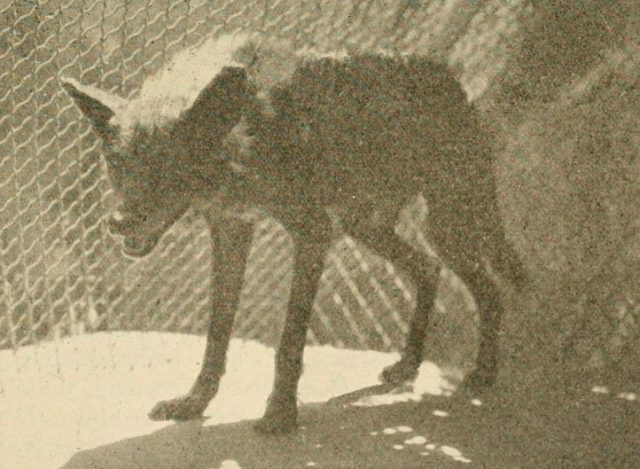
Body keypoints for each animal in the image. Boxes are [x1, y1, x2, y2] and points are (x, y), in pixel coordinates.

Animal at [62, 33, 528, 434]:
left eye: (166, 168)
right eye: (116, 164)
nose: (120, 222)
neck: (242, 131)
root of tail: (452, 81)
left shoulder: (311, 234)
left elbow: (288, 344)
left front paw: (281, 414)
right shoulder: (231, 233)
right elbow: (216, 337)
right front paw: (194, 402)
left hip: (448, 229)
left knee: (489, 290)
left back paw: (483, 372)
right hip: (367, 228)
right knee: (427, 269)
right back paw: (407, 366)